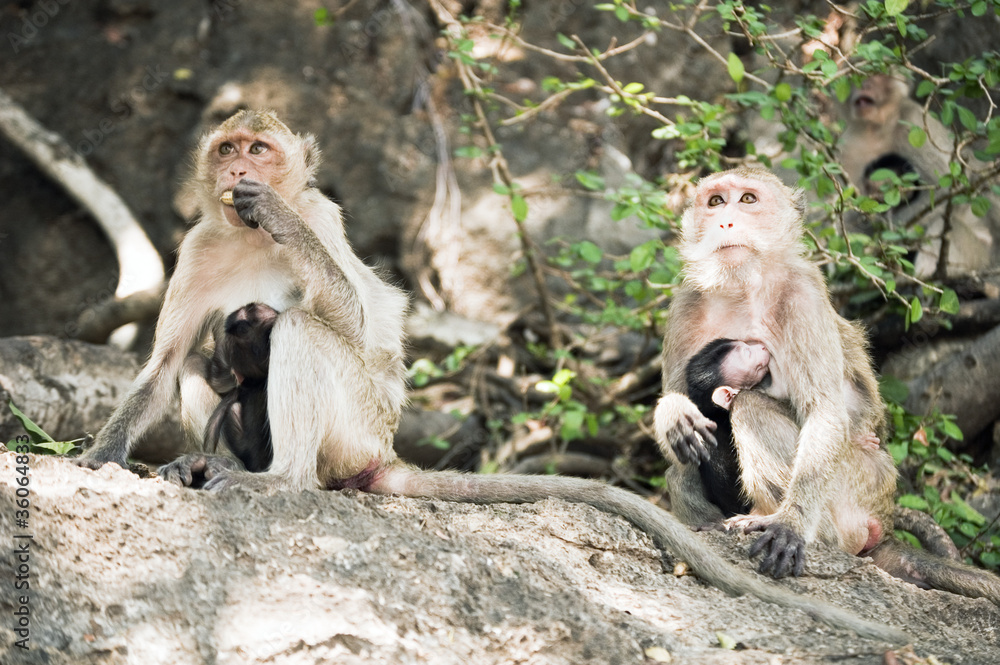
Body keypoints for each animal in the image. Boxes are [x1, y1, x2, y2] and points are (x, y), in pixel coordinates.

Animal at [654, 166, 1000, 605]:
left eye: (748, 199)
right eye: (716, 201)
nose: (725, 221)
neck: (741, 288)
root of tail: (884, 519)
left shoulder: (802, 295)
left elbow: (823, 411)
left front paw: (790, 524)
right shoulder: (684, 304)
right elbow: (681, 408)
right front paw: (673, 412)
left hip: (856, 486)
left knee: (751, 409)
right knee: (680, 465)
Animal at [839, 74, 995, 277]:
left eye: (879, 77)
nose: (865, 84)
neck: (878, 129)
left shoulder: (915, 123)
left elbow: (948, 188)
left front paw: (888, 239)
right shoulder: (849, 145)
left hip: (977, 256)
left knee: (944, 223)